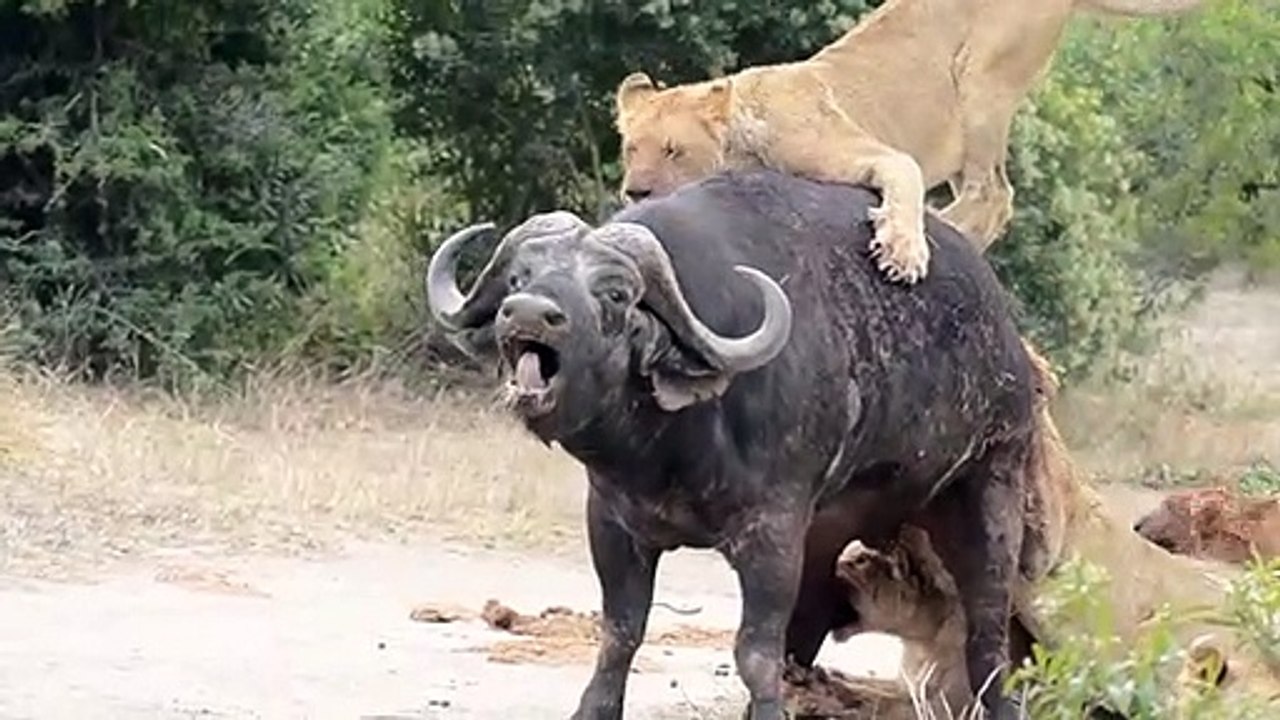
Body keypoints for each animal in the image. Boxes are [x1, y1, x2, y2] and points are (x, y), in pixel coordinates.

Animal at [425, 169, 1036, 720]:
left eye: (616, 293)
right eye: (517, 278)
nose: (529, 312)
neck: (666, 453)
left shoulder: (772, 534)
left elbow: (755, 653)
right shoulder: (613, 522)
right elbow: (621, 634)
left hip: (991, 487)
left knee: (986, 637)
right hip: (831, 529)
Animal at [614, 0, 1204, 284]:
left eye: (673, 150)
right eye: (630, 150)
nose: (634, 193)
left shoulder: (863, 149)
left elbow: (905, 176)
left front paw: (903, 250)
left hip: (981, 79)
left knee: (996, 195)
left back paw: (941, 226)